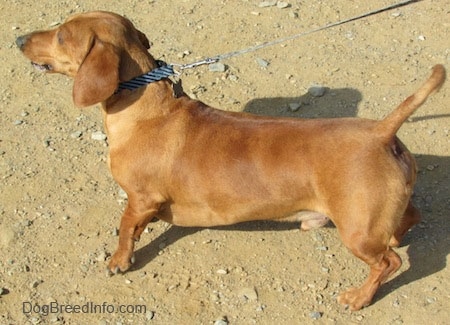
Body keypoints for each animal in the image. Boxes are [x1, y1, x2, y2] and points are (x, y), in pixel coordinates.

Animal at [14, 10, 446, 308]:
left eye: (62, 35)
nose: (17, 37)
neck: (147, 111)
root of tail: (381, 130)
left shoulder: (140, 200)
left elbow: (125, 231)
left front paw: (119, 260)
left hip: (356, 230)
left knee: (388, 263)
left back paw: (358, 297)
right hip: (376, 213)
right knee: (409, 219)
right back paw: (397, 233)